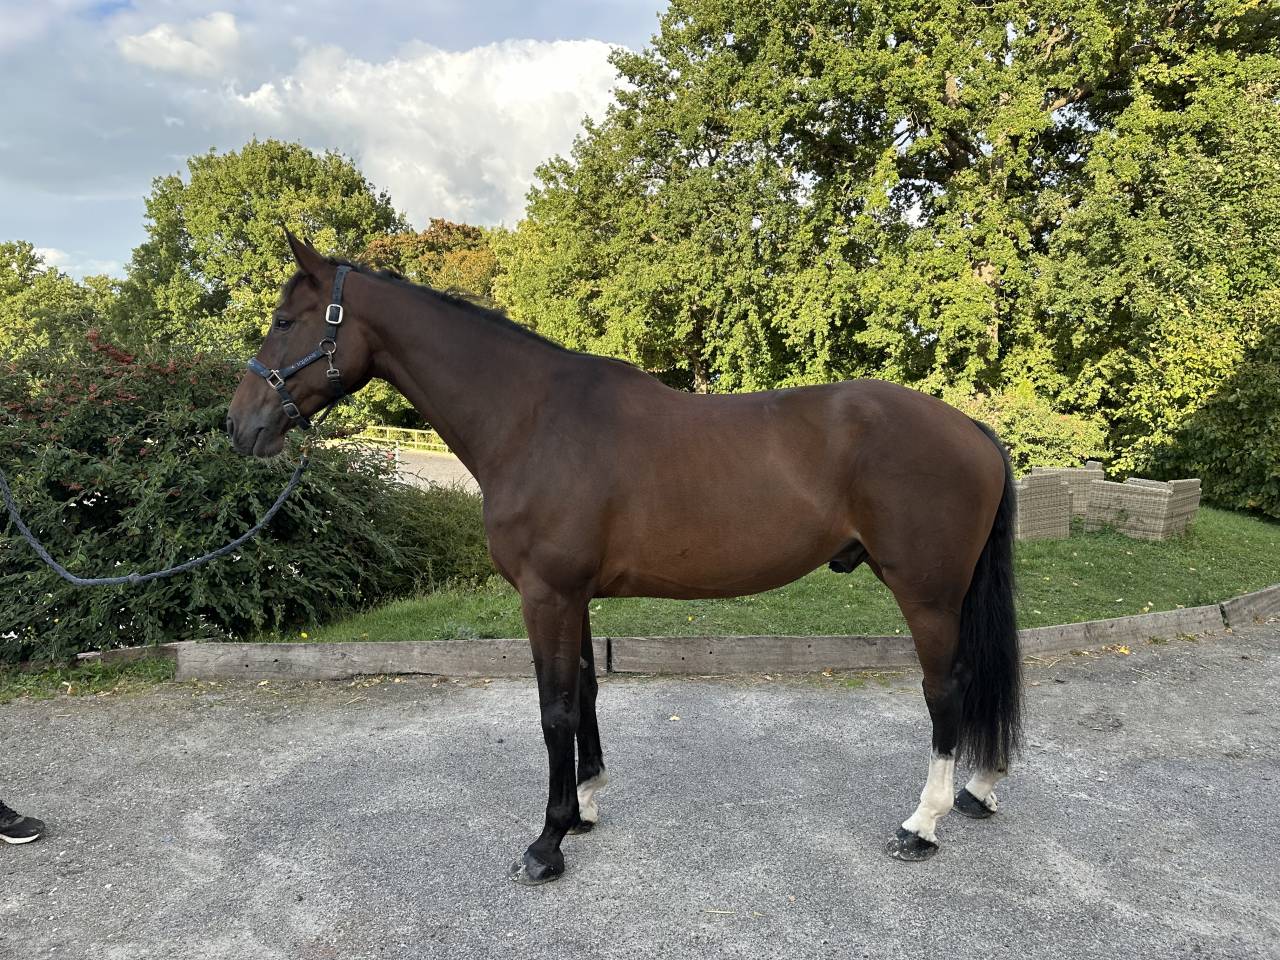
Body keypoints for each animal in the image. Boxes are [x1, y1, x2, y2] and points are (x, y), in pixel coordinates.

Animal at [227, 232, 1022, 885]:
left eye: (285, 321)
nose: (240, 426)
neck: (531, 420)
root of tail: (974, 430)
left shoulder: (546, 594)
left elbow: (553, 709)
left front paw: (545, 844)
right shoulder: (571, 596)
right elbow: (584, 695)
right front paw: (583, 807)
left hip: (925, 594)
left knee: (947, 689)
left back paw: (922, 824)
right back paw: (979, 791)